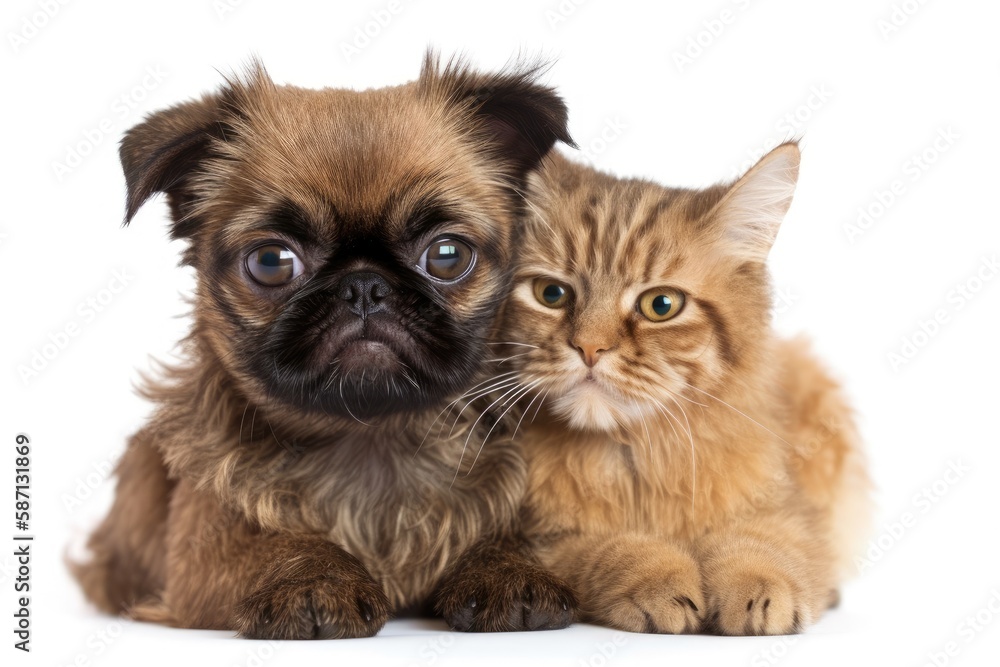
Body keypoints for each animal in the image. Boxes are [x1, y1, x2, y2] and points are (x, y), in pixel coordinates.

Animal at [74, 54, 580, 640]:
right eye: (271, 261)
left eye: (447, 255)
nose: (363, 286)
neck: (370, 436)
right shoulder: (202, 559)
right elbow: (278, 543)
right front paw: (311, 578)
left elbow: (497, 535)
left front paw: (506, 569)